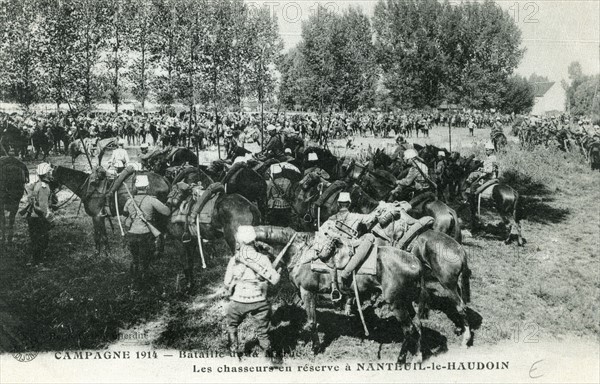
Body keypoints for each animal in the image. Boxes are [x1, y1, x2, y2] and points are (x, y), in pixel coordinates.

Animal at [253, 225, 426, 364]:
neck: (300, 252)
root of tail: (415, 263)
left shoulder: (307, 292)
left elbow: (312, 322)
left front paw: (315, 349)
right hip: (407, 302)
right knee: (417, 326)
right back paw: (417, 357)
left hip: (396, 303)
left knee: (409, 330)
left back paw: (400, 359)